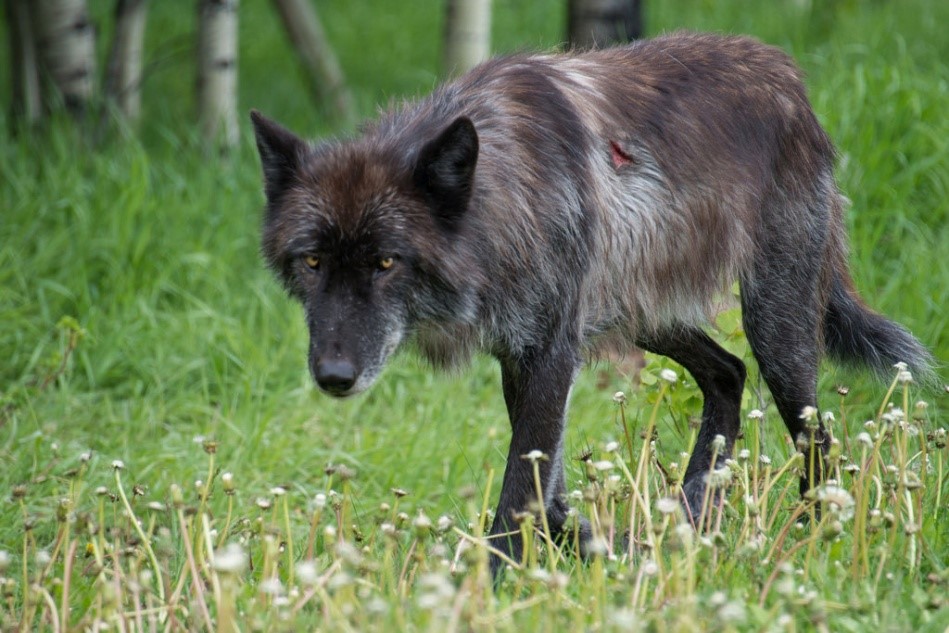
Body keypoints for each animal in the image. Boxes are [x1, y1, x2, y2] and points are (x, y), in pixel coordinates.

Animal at [250, 32, 932, 576]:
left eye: (386, 263)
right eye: (312, 263)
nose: (334, 377)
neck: (505, 194)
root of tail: (787, 76)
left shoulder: (552, 351)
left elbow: (520, 493)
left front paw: (489, 589)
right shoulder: (524, 355)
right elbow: (545, 491)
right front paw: (600, 544)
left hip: (774, 328)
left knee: (816, 440)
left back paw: (816, 533)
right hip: (640, 319)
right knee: (728, 373)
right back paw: (691, 511)